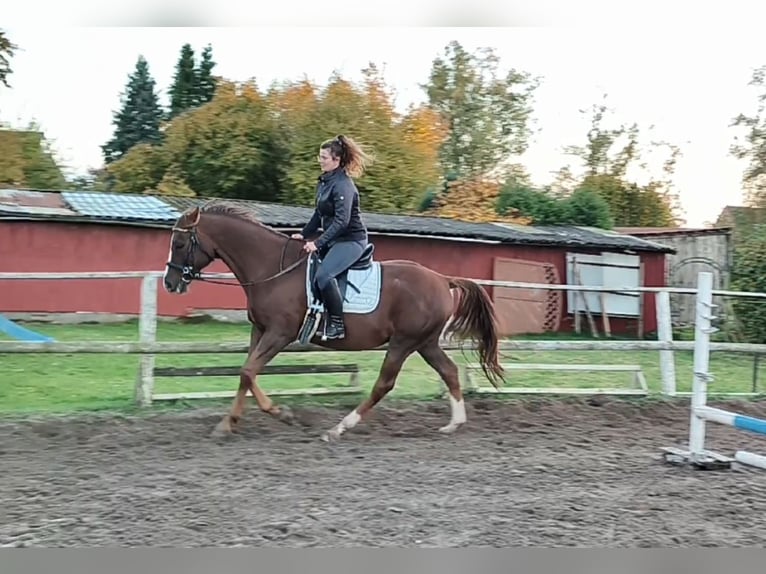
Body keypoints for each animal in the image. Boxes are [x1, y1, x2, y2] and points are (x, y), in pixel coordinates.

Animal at [164, 200, 504, 444]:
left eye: (179, 245)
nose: (169, 283)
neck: (271, 269)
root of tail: (442, 279)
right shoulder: (259, 330)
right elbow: (246, 373)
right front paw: (228, 424)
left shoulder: (279, 333)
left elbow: (248, 372)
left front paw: (283, 414)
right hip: (426, 342)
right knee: (449, 371)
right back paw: (453, 424)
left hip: (404, 342)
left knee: (384, 384)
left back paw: (338, 429)